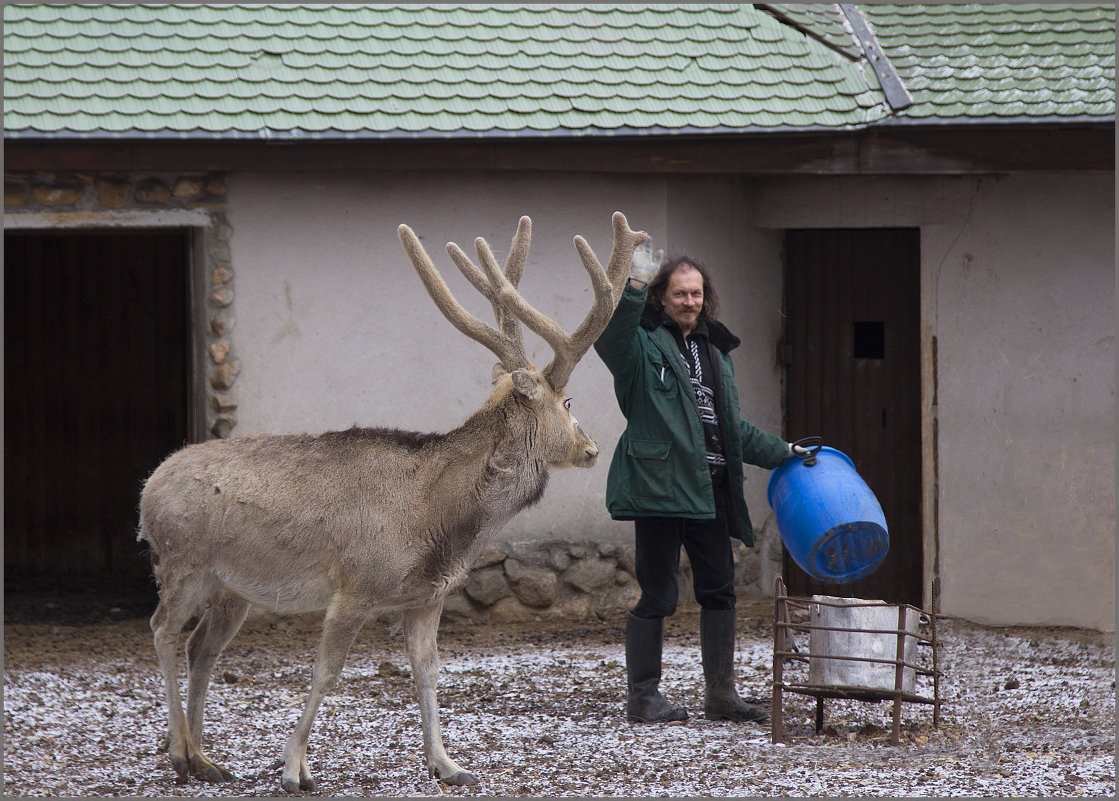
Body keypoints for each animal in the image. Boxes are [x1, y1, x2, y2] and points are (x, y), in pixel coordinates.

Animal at [137, 209, 649, 792]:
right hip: (182, 560)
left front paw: (447, 764)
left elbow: (427, 672)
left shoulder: (427, 596)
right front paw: (294, 768)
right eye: (567, 401)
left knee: (202, 647)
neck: (435, 522)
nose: (591, 448)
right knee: (163, 630)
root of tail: (147, 490)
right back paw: (180, 753)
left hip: (232, 588)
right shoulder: (355, 585)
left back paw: (205, 758)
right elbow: (327, 672)